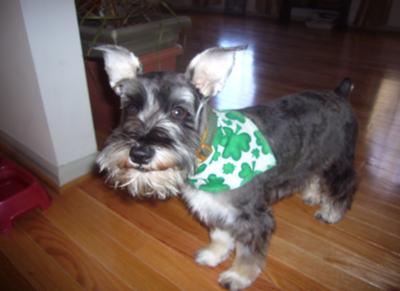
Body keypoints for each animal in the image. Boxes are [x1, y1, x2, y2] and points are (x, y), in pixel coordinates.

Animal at [95, 44, 358, 290]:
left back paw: (331, 212)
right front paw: (213, 254)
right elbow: (220, 235)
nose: (139, 153)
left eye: (178, 111)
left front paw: (238, 276)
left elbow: (248, 253)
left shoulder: (253, 218)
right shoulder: (215, 209)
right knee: (313, 174)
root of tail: (339, 94)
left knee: (345, 185)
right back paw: (312, 194)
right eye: (130, 107)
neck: (207, 154)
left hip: (340, 159)